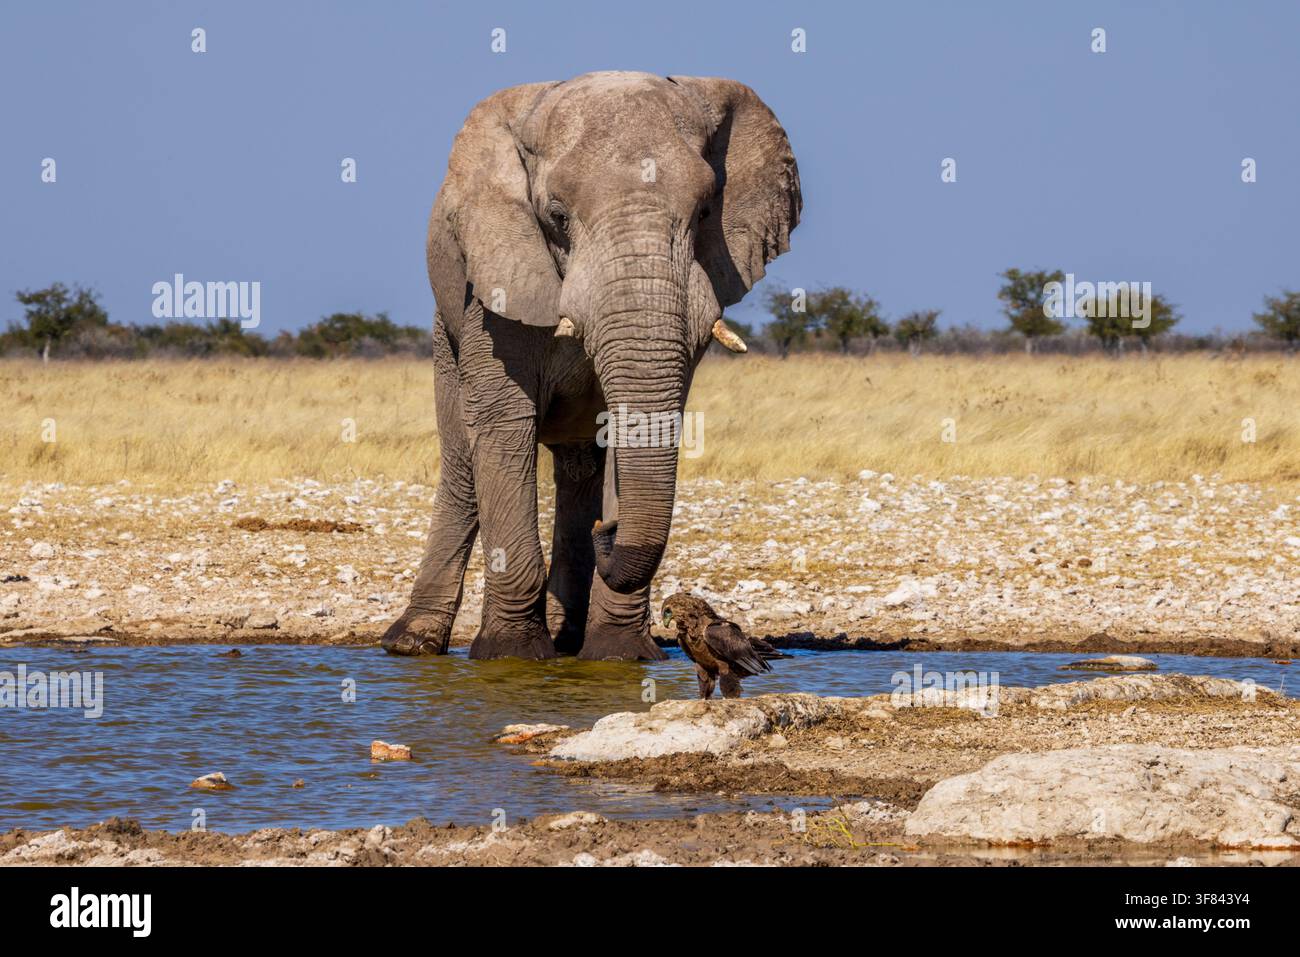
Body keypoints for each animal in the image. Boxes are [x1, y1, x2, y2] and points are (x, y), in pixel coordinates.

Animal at [381, 71, 801, 661]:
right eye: (557, 217)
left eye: (704, 213)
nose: (613, 525)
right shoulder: (496, 290)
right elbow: (504, 428)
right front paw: (510, 657)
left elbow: (637, 426)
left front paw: (619, 657)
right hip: (449, 328)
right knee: (464, 464)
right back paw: (411, 644)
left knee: (579, 469)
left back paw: (570, 640)